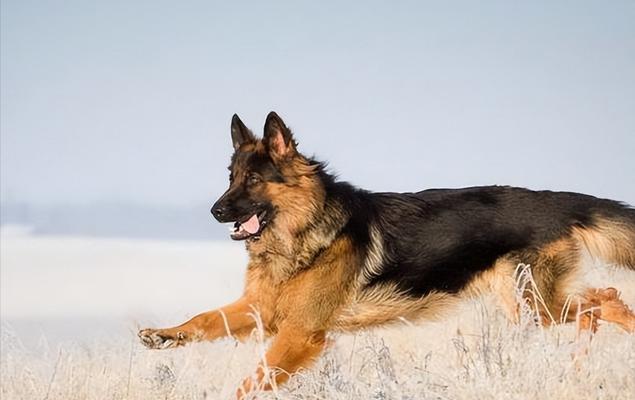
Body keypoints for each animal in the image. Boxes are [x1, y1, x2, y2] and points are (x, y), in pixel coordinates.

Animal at [139, 111, 635, 396]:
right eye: (230, 177)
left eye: (254, 180)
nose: (215, 211)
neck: (306, 229)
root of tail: (558, 201)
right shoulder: (261, 308)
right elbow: (205, 319)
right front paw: (164, 336)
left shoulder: (300, 333)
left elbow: (253, 379)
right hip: (530, 306)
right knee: (598, 303)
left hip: (536, 305)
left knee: (607, 298)